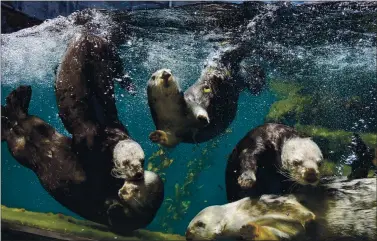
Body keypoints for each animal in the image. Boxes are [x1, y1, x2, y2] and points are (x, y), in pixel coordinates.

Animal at [1, 85, 163, 233]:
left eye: (133, 188)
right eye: (134, 162)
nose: (137, 173)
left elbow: (113, 212)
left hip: (21, 149)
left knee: (16, 129)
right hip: (40, 129)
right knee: (23, 121)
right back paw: (20, 94)